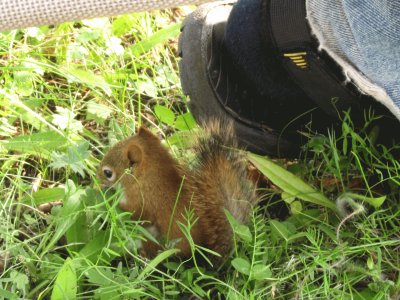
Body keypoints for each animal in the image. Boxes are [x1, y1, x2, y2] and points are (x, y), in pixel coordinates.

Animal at [98, 121, 258, 260]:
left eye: (108, 173)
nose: (97, 178)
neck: (145, 177)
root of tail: (199, 249)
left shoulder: (138, 199)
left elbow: (132, 210)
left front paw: (108, 199)